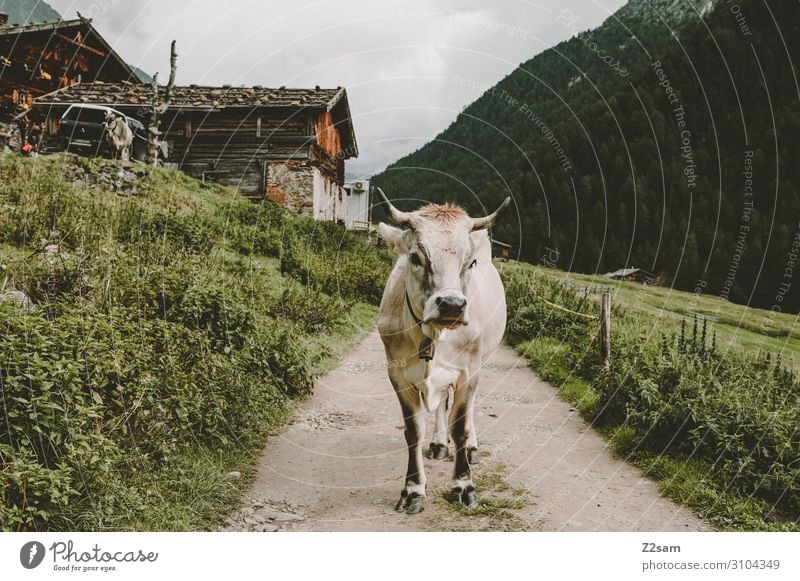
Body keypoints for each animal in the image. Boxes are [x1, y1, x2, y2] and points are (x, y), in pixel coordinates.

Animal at [376, 189, 512, 512]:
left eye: (470, 262)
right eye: (416, 257)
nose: (451, 305)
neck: (433, 335)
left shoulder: (468, 370)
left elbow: (460, 426)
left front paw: (463, 485)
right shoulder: (397, 373)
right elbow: (413, 431)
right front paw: (413, 489)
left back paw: (471, 447)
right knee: (442, 405)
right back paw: (439, 443)